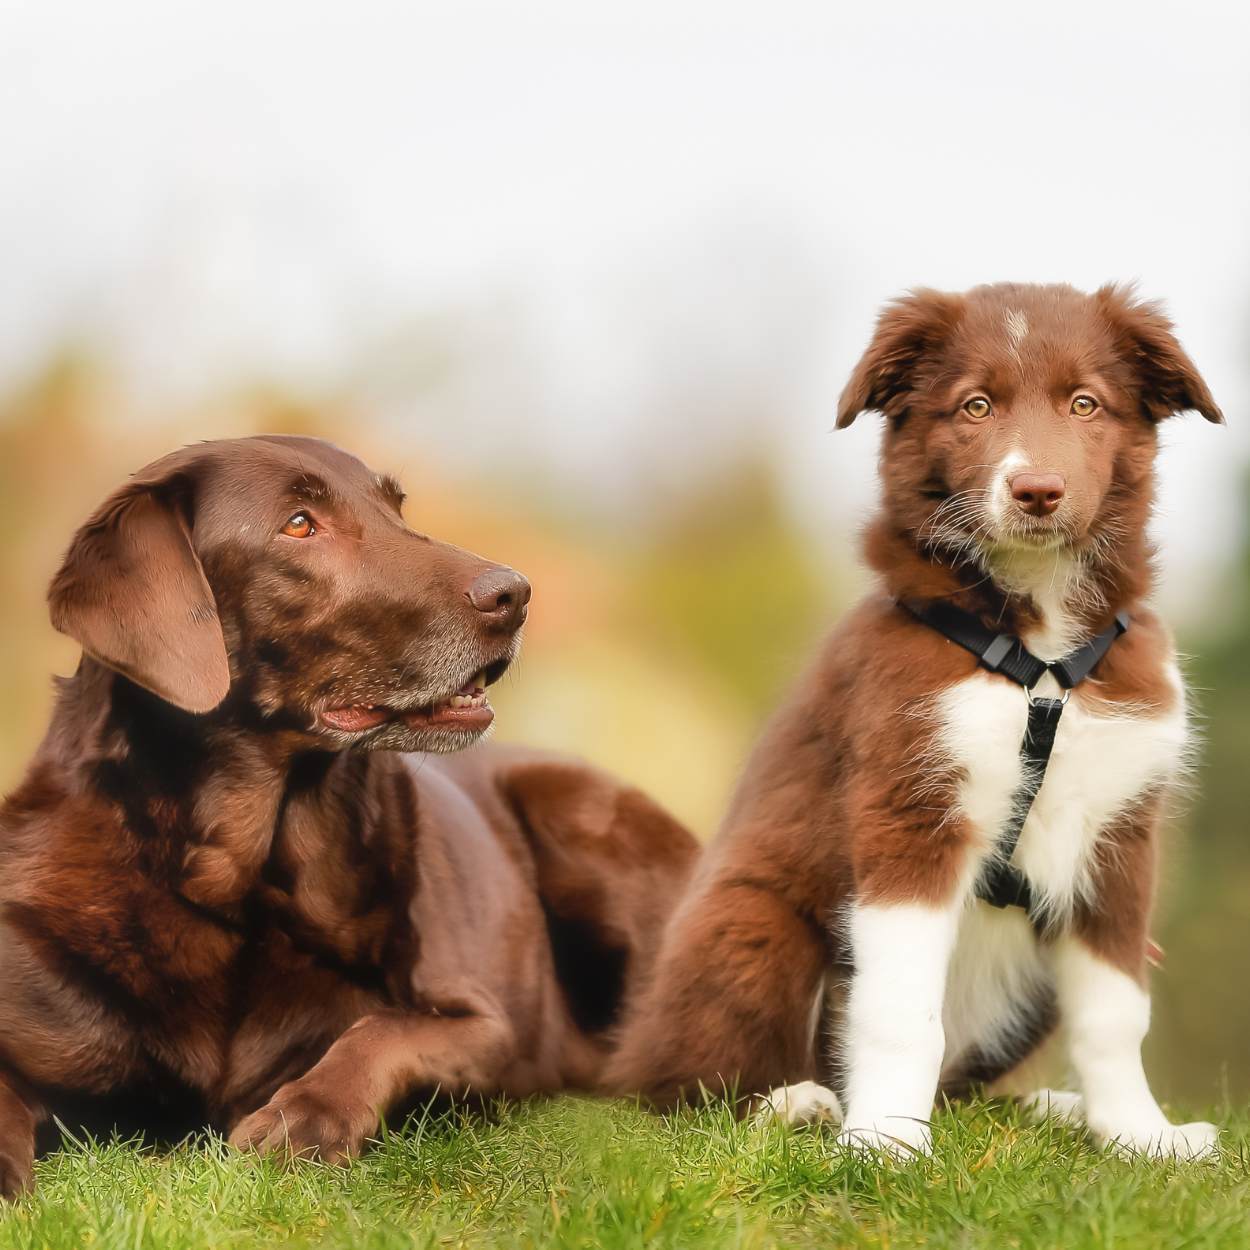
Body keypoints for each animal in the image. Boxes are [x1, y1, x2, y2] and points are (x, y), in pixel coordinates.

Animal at [0, 435, 700, 1195]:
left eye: (396, 508)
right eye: (300, 524)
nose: (514, 593)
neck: (238, 888)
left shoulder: (490, 1025)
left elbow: (384, 1029)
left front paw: (304, 1115)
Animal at [610, 283, 1225, 1160]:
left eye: (1084, 403)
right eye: (975, 406)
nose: (1037, 490)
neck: (1039, 648)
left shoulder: (1119, 837)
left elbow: (1114, 1009)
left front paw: (1140, 1135)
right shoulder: (911, 808)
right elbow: (902, 1008)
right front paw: (886, 1144)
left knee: (969, 1085)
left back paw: (1051, 1109)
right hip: (748, 924)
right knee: (677, 1089)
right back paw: (795, 1105)